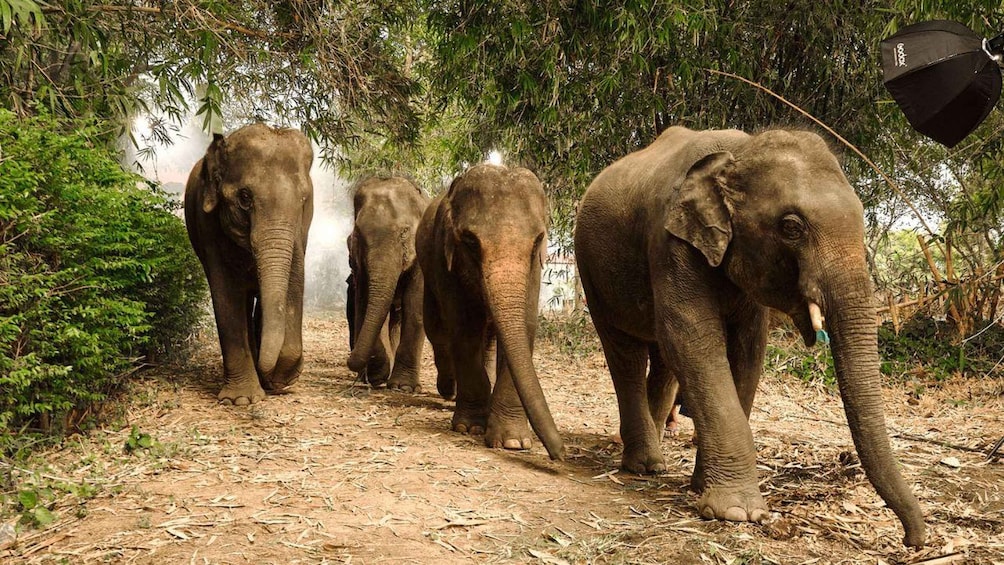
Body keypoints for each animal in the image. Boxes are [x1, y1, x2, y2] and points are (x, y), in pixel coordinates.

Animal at [184, 123, 313, 407]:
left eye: (303, 199)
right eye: (244, 197)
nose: (274, 378)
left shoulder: (300, 232)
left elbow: (295, 281)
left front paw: (282, 378)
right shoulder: (207, 225)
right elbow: (225, 294)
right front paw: (241, 400)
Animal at [345, 176, 427, 393]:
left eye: (404, 232)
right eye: (358, 234)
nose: (350, 361)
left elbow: (415, 305)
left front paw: (404, 387)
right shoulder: (359, 266)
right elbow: (364, 302)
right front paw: (377, 375)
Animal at [415, 162, 566, 459]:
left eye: (537, 241)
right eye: (471, 241)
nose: (561, 453)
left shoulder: (534, 268)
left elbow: (525, 325)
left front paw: (514, 442)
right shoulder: (444, 257)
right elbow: (464, 326)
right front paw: (470, 427)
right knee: (437, 330)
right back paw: (449, 391)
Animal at [574, 124, 923, 549]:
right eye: (791, 227)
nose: (913, 540)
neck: (739, 152)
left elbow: (748, 350)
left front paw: (701, 488)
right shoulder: (671, 242)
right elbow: (692, 339)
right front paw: (739, 513)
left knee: (661, 360)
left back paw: (656, 463)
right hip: (591, 271)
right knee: (626, 354)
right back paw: (641, 465)